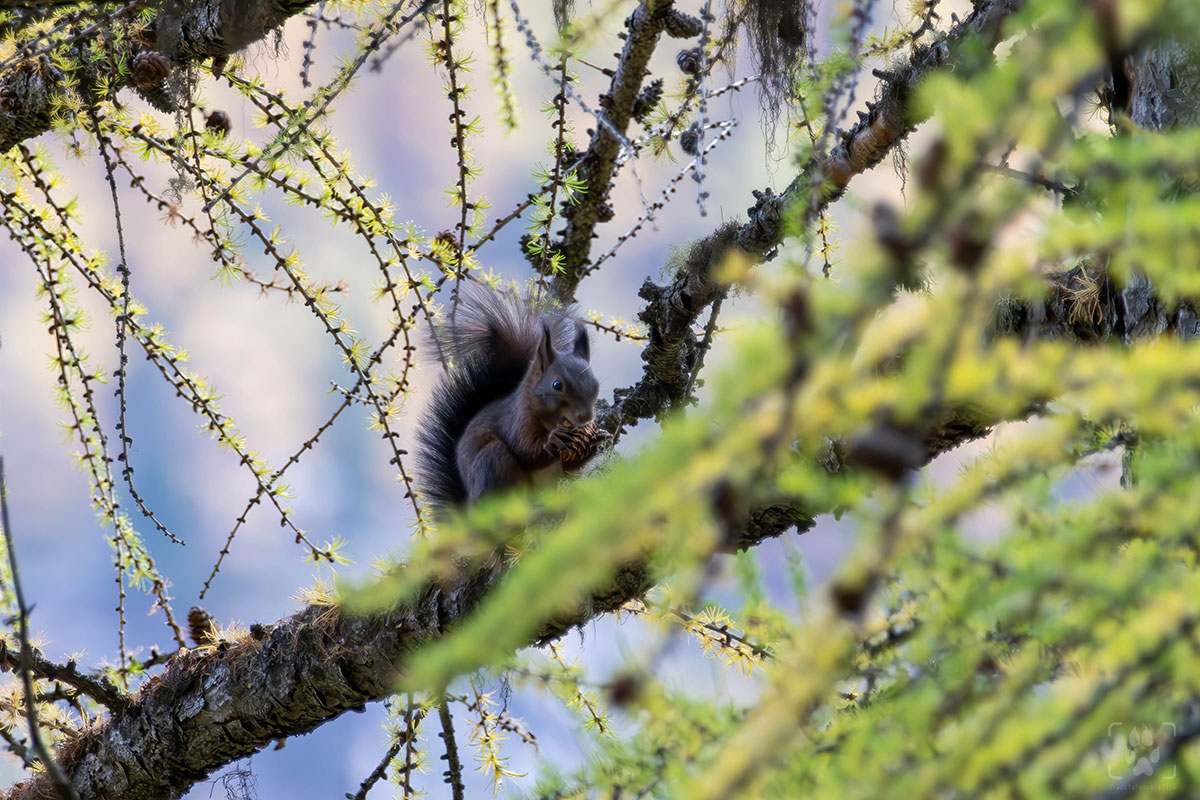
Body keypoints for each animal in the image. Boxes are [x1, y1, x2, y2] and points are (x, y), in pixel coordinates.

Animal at [415, 285, 613, 508]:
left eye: (595, 382)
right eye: (557, 385)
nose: (586, 417)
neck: (553, 420)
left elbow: (570, 468)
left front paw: (599, 439)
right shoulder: (517, 420)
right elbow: (524, 450)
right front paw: (552, 440)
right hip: (493, 462)